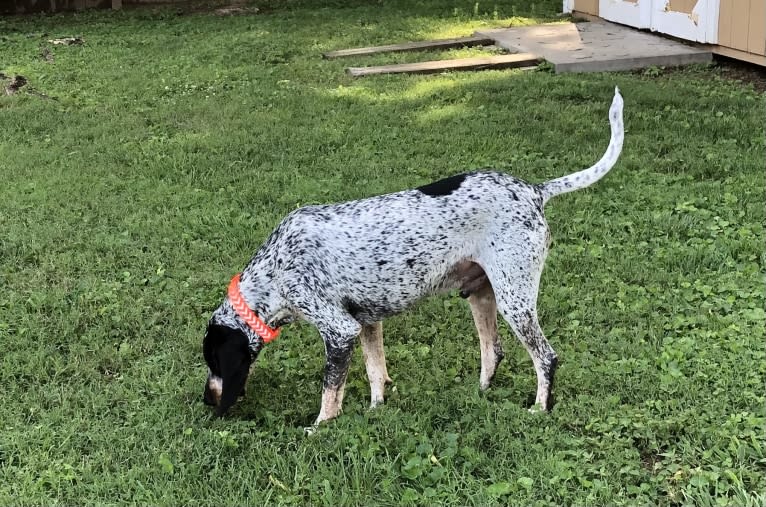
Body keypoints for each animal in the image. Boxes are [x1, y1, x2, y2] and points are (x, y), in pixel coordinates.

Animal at [202, 88, 624, 428]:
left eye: (213, 363)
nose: (206, 402)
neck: (275, 268)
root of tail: (535, 191)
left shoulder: (339, 330)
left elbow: (330, 392)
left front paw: (320, 427)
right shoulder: (366, 324)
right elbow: (376, 374)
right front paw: (376, 411)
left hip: (514, 302)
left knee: (546, 358)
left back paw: (540, 408)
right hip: (482, 296)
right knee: (494, 352)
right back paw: (480, 393)